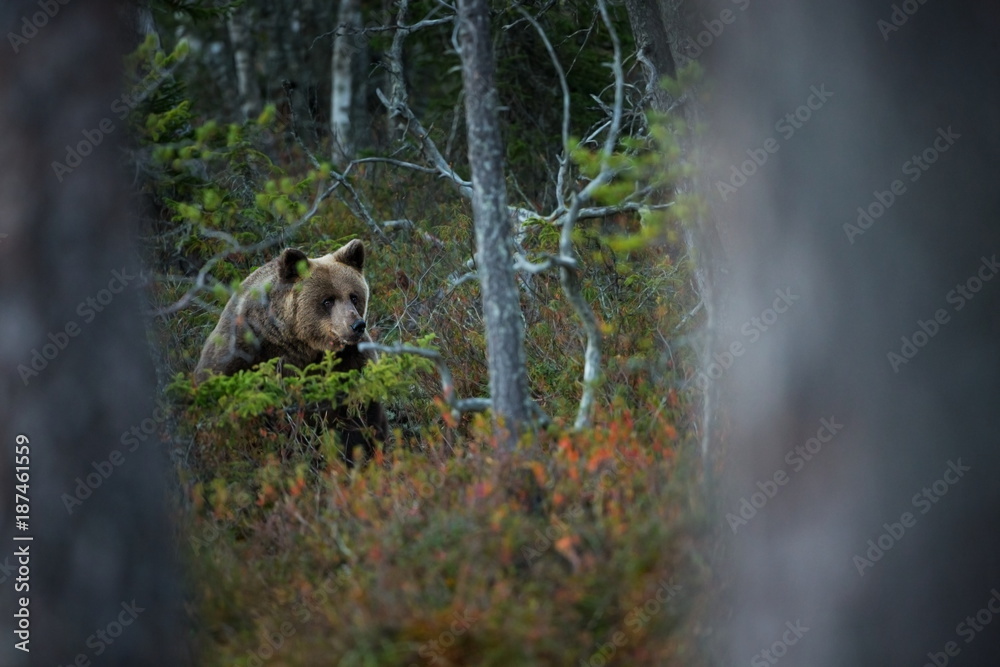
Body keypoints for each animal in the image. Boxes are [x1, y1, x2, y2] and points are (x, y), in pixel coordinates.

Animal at [194, 239, 388, 464]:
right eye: (327, 300)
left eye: (354, 297)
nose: (356, 325)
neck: (300, 344)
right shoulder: (246, 350)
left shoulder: (349, 361)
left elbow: (359, 412)